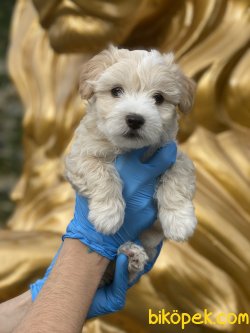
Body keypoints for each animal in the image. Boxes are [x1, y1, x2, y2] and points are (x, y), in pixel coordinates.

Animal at [64, 45, 197, 282]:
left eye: (158, 98)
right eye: (116, 91)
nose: (135, 119)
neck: (130, 150)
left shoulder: (175, 155)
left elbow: (177, 178)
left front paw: (180, 220)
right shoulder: (80, 157)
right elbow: (101, 172)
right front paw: (108, 214)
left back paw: (132, 256)